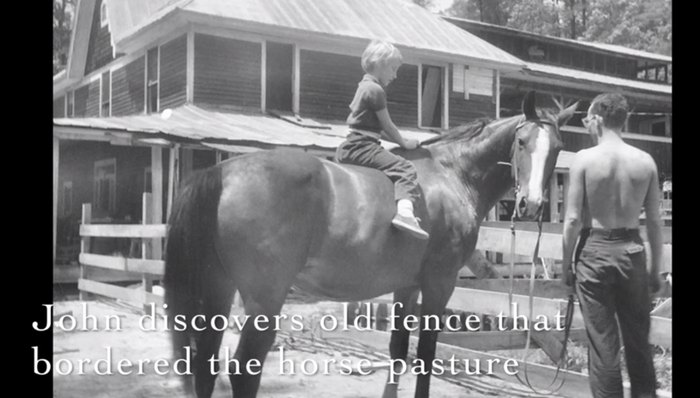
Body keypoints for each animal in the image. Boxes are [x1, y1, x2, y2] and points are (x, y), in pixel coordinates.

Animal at [165, 91, 580, 396]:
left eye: (558, 147)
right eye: (522, 141)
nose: (532, 205)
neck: (451, 173)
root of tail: (221, 172)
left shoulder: (407, 287)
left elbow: (397, 351)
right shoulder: (439, 285)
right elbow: (425, 355)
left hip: (219, 290)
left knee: (205, 366)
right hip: (264, 299)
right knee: (242, 371)